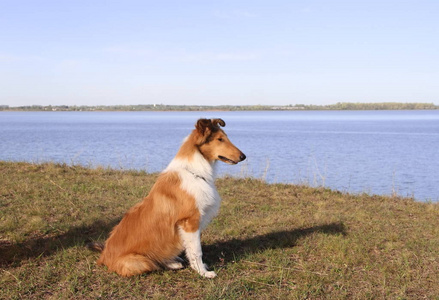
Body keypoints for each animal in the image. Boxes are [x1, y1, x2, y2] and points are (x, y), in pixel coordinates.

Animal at [88, 118, 248, 278]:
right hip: (140, 262)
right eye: (220, 139)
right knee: (154, 263)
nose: (243, 156)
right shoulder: (190, 222)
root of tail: (103, 256)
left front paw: (201, 268)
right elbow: (197, 251)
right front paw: (203, 272)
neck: (194, 172)